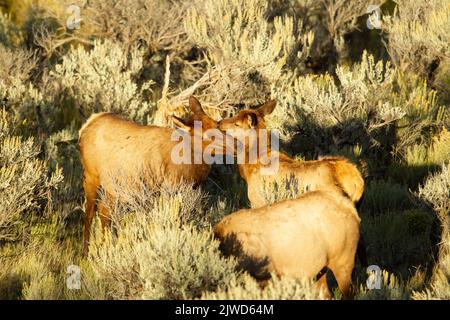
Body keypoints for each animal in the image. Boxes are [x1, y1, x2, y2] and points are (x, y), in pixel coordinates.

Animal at [78, 96, 232, 254]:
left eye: (217, 124)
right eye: (207, 135)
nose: (233, 144)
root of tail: (87, 123)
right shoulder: (163, 191)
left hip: (112, 188)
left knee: (104, 212)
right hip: (91, 176)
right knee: (89, 214)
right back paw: (86, 253)